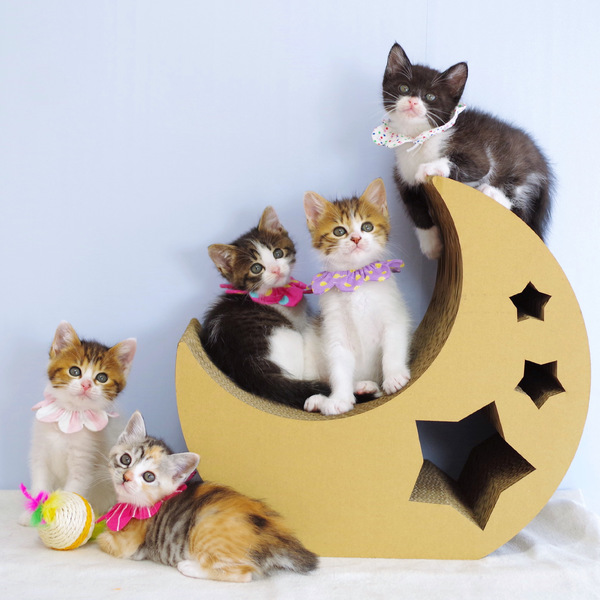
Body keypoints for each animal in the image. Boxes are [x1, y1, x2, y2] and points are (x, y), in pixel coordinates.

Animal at [23, 321, 136, 523]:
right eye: (75, 371)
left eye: (101, 377)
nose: (86, 385)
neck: (70, 415)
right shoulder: (40, 454)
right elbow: (40, 484)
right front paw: (32, 516)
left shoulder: (84, 464)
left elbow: (72, 492)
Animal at [97, 411, 318, 582]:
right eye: (126, 459)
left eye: (148, 477)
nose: (126, 477)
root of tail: (274, 538)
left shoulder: (127, 546)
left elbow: (102, 540)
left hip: (206, 532)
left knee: (245, 574)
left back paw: (189, 567)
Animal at [201, 205, 329, 409]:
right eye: (256, 268)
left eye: (278, 253)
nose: (276, 270)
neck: (274, 294)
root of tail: (248, 366)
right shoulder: (300, 326)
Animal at [302, 178, 412, 416]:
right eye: (339, 231)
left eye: (367, 227)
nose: (356, 238)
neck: (355, 278)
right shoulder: (335, 329)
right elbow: (339, 366)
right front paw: (339, 399)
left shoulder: (393, 314)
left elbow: (393, 346)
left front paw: (394, 377)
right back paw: (326, 397)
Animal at [379, 42, 553, 259]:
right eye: (404, 88)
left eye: (430, 96)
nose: (412, 102)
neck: (419, 138)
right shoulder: (403, 174)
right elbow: (415, 208)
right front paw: (432, 245)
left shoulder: (477, 152)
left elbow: (471, 164)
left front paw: (429, 168)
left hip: (523, 170)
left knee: (521, 209)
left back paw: (493, 193)